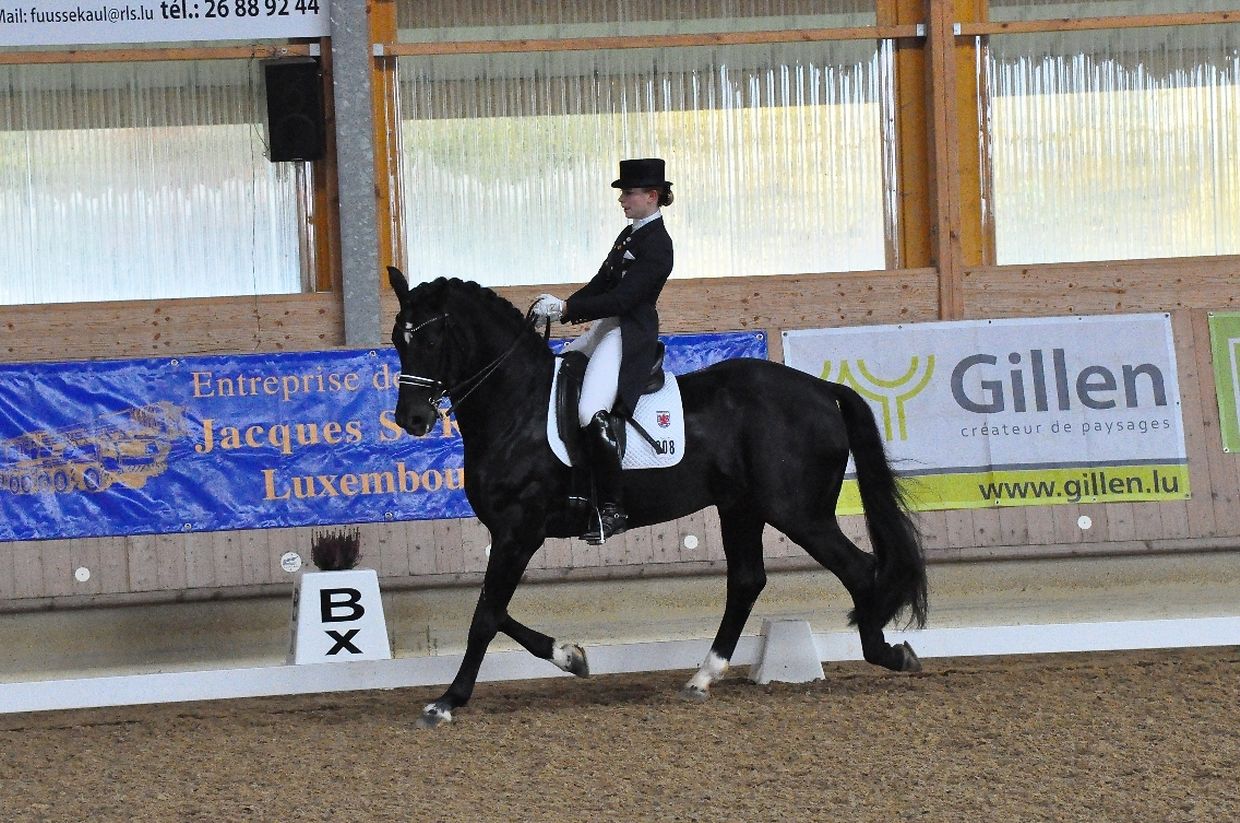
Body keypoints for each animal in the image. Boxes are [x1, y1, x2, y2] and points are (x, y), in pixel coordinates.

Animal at [387, 268, 928, 728]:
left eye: (430, 339)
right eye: (396, 338)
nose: (411, 420)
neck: (516, 406)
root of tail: (821, 388)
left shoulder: (519, 531)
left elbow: (485, 616)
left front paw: (447, 701)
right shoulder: (511, 534)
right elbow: (494, 610)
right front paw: (571, 656)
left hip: (798, 512)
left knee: (857, 568)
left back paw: (889, 653)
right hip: (741, 508)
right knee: (747, 581)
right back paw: (703, 677)